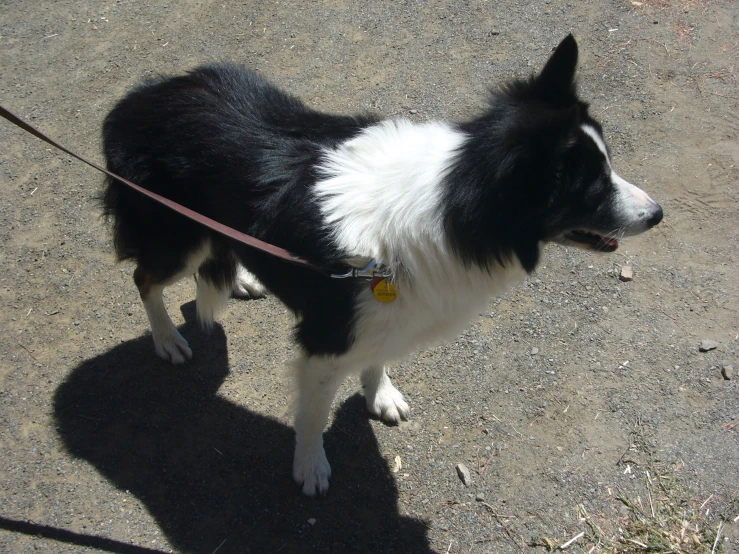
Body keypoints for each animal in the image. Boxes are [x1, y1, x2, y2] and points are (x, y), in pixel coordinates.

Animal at [102, 35, 664, 492]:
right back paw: (167, 340)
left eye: (608, 166)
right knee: (143, 277)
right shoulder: (327, 337)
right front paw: (310, 466)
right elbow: (312, 416)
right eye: (592, 189)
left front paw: (379, 393)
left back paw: (241, 276)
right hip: (175, 239)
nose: (658, 214)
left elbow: (376, 359)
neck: (454, 201)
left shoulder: (384, 309)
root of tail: (137, 97)